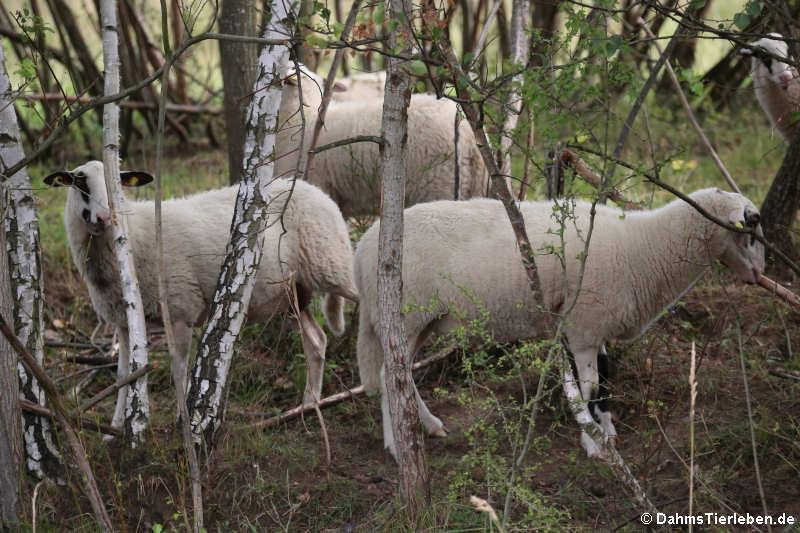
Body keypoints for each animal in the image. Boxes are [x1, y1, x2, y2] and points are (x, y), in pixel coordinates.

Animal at [43, 160, 356, 426]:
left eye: (117, 183)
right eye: (79, 182)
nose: (104, 217)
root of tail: (317, 192)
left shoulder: (180, 310)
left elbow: (179, 368)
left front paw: (182, 419)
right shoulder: (123, 321)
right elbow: (124, 374)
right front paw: (116, 426)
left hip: (332, 264)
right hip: (292, 295)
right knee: (316, 341)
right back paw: (309, 404)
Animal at [354, 187, 764, 458]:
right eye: (748, 235)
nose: (758, 276)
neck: (646, 246)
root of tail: (364, 247)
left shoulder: (590, 324)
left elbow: (607, 377)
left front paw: (607, 428)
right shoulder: (584, 324)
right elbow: (590, 386)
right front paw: (593, 441)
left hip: (420, 320)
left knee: (401, 375)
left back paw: (427, 425)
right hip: (405, 314)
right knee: (389, 378)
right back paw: (396, 446)